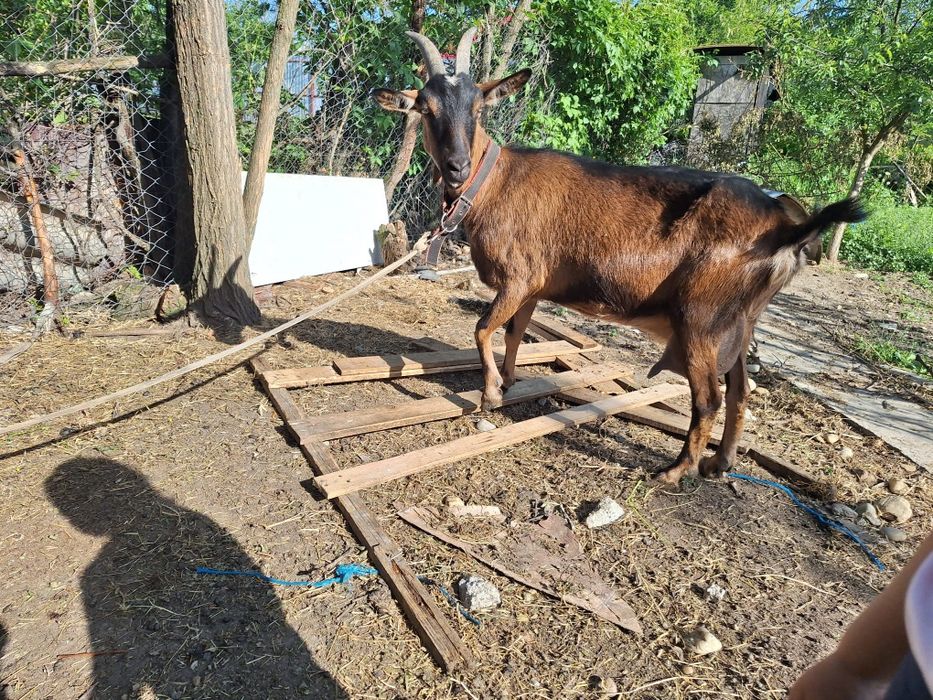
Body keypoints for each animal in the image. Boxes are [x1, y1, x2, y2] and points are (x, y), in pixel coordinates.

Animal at [373, 29, 866, 484]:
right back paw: (718, 463)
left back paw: (675, 471)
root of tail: (788, 228)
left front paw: (490, 394)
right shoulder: (533, 286)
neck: (493, 181)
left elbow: (481, 328)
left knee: (709, 397)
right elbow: (514, 333)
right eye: (426, 109)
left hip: (702, 319)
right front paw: (509, 381)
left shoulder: (519, 277)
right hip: (741, 321)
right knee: (741, 391)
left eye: (478, 109)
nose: (456, 167)